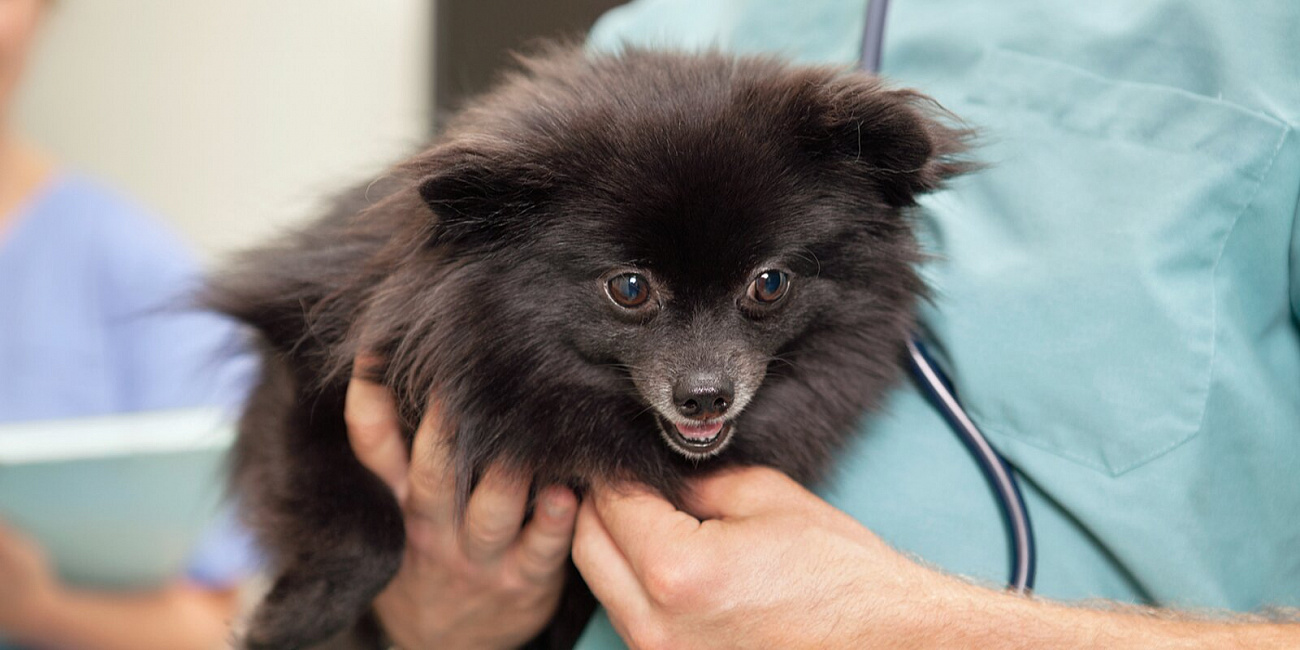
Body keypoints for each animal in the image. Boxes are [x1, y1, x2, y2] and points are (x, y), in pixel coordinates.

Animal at [208, 45, 972, 650]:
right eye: (629, 288)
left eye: (770, 283)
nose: (705, 396)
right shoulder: (305, 363)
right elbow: (368, 524)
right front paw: (295, 617)